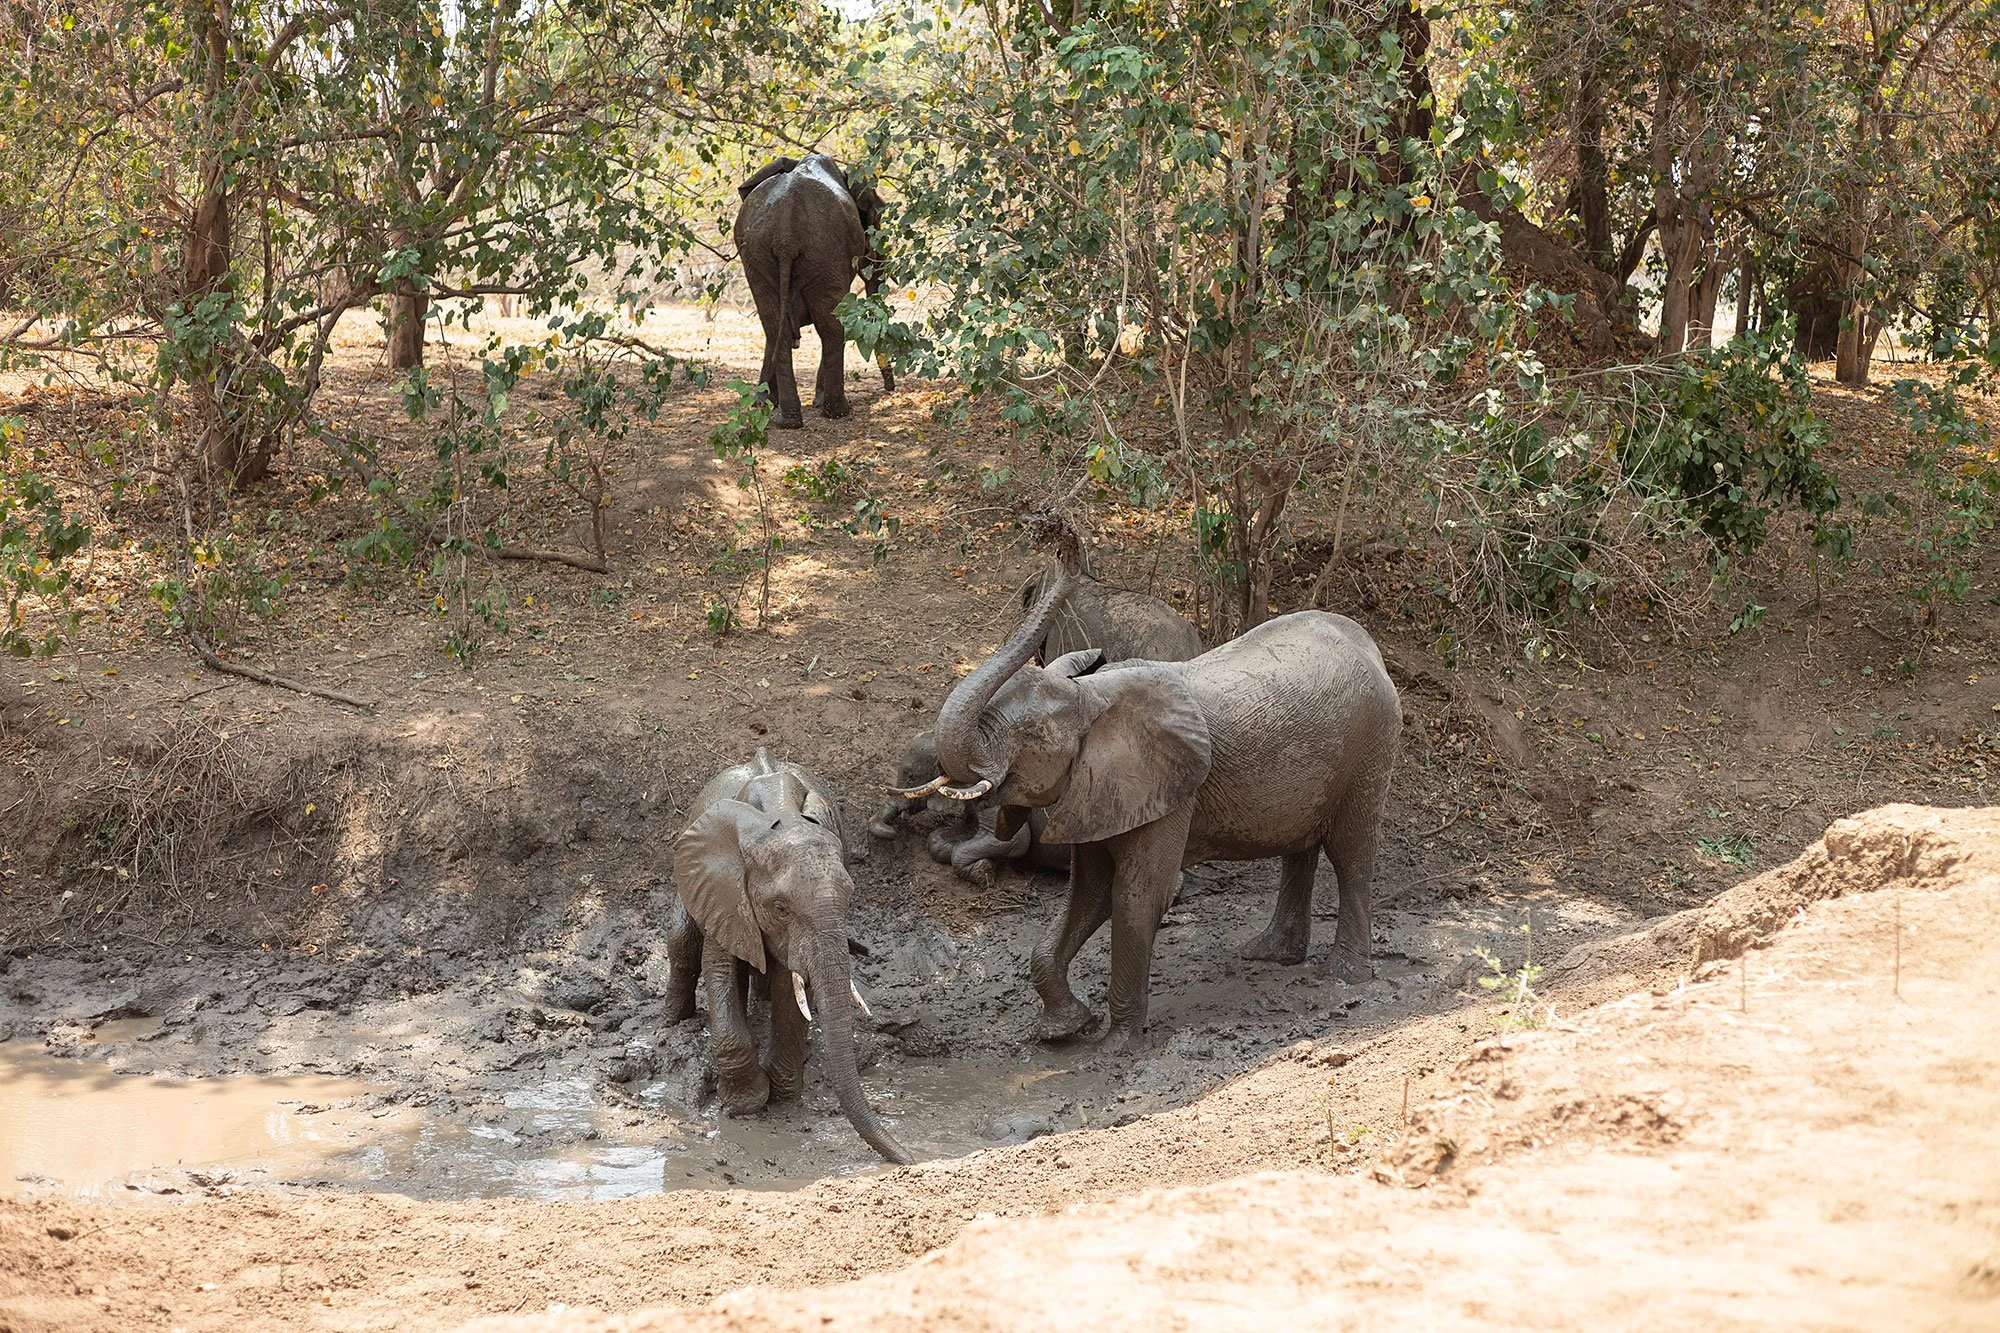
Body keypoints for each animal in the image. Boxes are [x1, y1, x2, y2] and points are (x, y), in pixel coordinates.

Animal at [666, 748, 911, 1164]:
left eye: (850, 897)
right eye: (780, 908)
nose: (909, 1159)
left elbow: (789, 986)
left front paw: (781, 1101)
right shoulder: (723, 891)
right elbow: (720, 969)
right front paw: (745, 1105)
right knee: (682, 939)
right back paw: (673, 1022)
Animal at [734, 154, 892, 430]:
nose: (889, 389)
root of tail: (785, 235)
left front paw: (763, 403)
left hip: (758, 255)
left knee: (774, 327)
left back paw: (787, 420)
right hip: (824, 254)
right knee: (831, 326)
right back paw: (836, 411)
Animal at [905, 544, 1401, 1052]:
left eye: (1031, 736)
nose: (1064, 549)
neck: (1091, 696)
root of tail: (1369, 645)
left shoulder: (1168, 790)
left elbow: (1135, 896)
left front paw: (1117, 1048)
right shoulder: (1097, 792)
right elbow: (1088, 893)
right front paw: (1063, 1029)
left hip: (1371, 744)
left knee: (1351, 854)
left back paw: (1344, 976)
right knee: (1299, 850)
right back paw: (1269, 955)